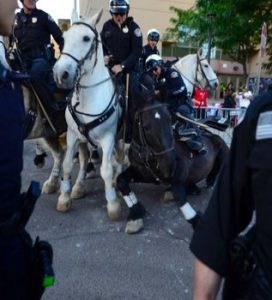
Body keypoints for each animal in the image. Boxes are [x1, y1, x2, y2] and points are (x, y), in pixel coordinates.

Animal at [53, 9, 121, 218]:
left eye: (86, 38)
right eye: (64, 38)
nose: (61, 74)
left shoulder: (108, 138)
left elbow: (106, 170)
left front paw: (113, 203)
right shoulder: (73, 136)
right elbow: (68, 164)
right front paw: (64, 197)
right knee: (84, 160)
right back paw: (78, 187)